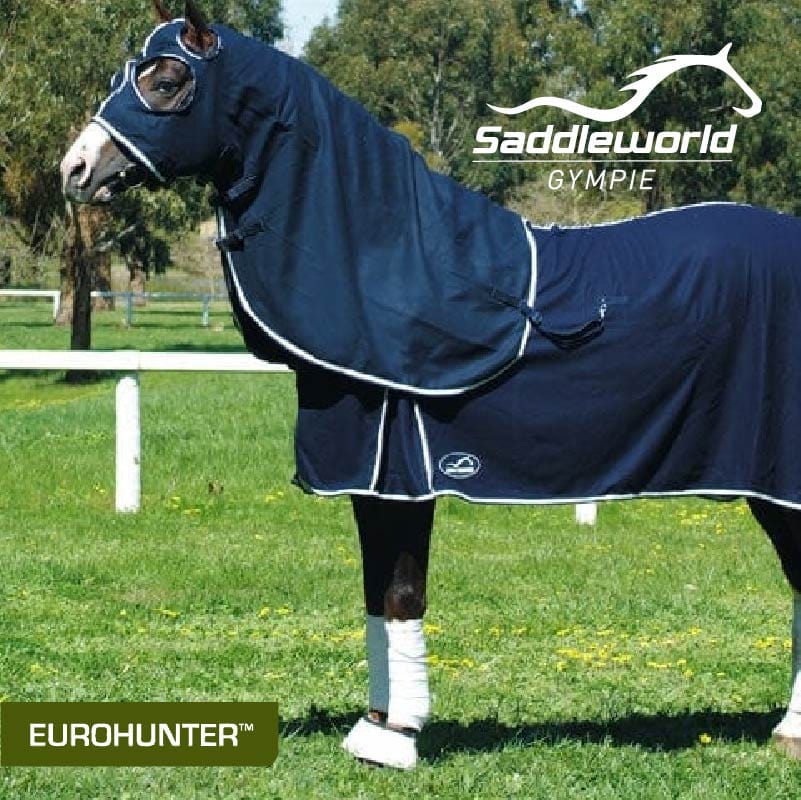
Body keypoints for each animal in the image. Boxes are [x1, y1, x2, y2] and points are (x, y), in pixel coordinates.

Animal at [62, 1, 801, 770]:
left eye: (167, 81)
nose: (75, 169)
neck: (393, 266)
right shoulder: (367, 480)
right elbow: (372, 593)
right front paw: (375, 724)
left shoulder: (401, 475)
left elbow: (400, 594)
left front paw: (399, 736)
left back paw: (790, 732)